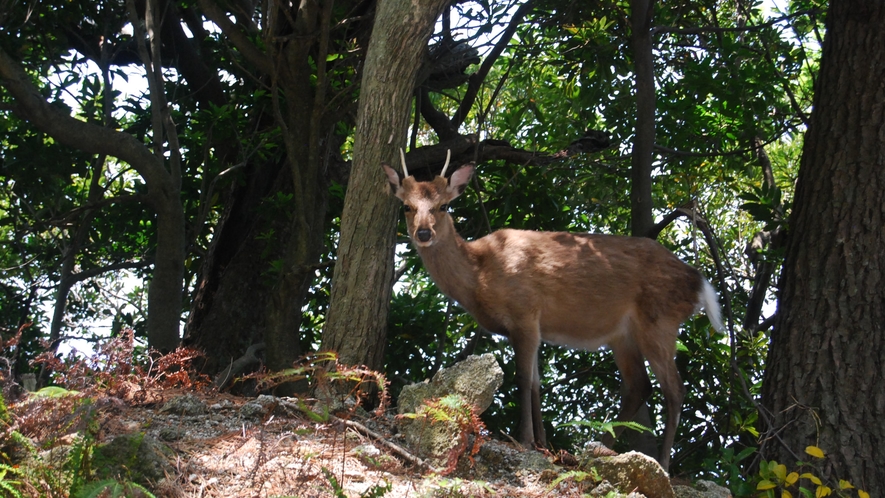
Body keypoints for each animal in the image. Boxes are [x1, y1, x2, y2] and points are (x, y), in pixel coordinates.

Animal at [384, 152, 720, 470]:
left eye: (443, 206)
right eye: (407, 207)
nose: (424, 234)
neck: (480, 275)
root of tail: (699, 281)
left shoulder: (525, 312)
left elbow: (522, 378)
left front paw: (524, 439)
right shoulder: (534, 326)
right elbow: (536, 382)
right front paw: (542, 443)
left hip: (659, 320)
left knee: (675, 389)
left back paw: (661, 462)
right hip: (623, 334)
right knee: (640, 386)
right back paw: (596, 448)